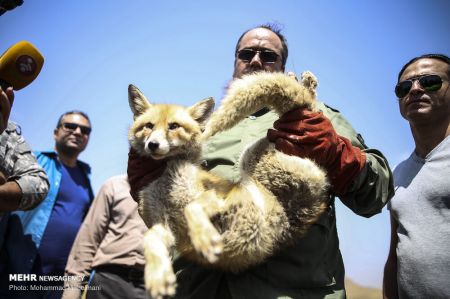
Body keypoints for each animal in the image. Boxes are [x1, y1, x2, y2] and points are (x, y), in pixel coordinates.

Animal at [128, 71, 328, 299]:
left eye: (174, 126)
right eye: (148, 126)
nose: (152, 145)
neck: (165, 183)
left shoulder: (219, 196)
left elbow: (191, 208)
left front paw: (204, 238)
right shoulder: (165, 227)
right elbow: (149, 239)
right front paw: (157, 278)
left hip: (254, 156)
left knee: (303, 104)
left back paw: (307, 88)